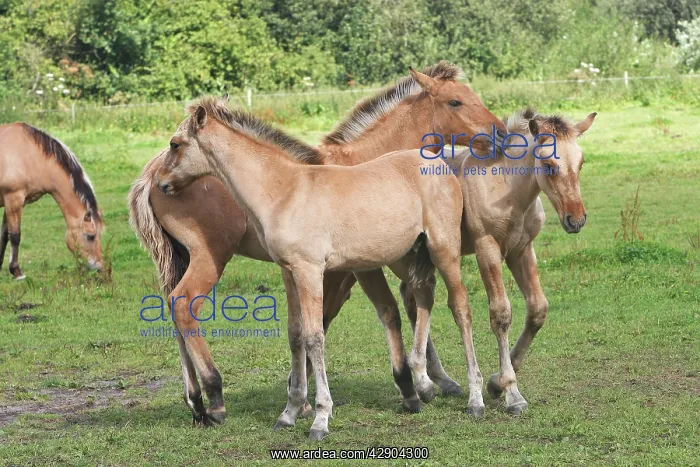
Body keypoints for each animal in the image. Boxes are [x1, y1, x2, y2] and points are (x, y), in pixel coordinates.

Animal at [0, 123, 104, 279]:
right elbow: (14, 236)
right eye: (90, 236)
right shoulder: (13, 199)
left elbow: (4, 235)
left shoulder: (12, 204)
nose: (99, 268)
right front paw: (16, 271)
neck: (29, 154)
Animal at [129, 62, 506, 426]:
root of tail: (146, 176)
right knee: (181, 304)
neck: (283, 187)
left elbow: (321, 328)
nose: (500, 133)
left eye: (176, 144)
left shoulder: (334, 268)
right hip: (209, 255)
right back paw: (208, 398)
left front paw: (310, 405)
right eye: (455, 101)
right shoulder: (333, 269)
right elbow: (323, 327)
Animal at [399, 109, 597, 415]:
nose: (576, 220)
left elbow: (538, 309)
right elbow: (501, 314)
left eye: (581, 163)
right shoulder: (487, 248)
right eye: (549, 165)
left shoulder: (522, 250)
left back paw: (431, 381)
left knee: (414, 297)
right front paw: (511, 393)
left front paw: (495, 384)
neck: (506, 186)